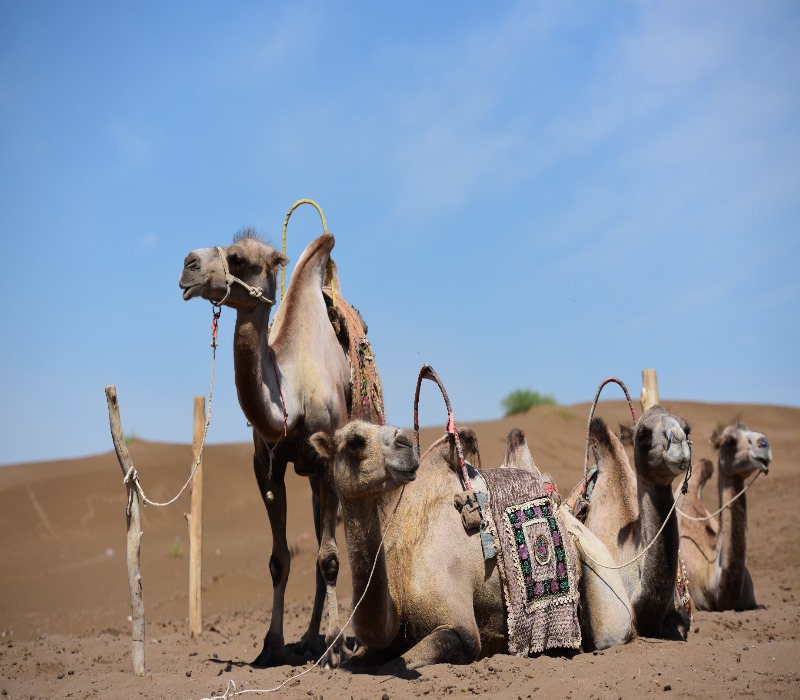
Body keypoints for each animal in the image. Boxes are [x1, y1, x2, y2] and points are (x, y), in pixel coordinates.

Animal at [179, 230, 382, 667]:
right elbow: (280, 560)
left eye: (238, 258)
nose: (188, 264)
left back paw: (342, 639)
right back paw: (308, 640)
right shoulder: (267, 466)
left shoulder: (328, 461)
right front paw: (271, 646)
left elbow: (329, 558)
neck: (293, 388)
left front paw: (336, 648)